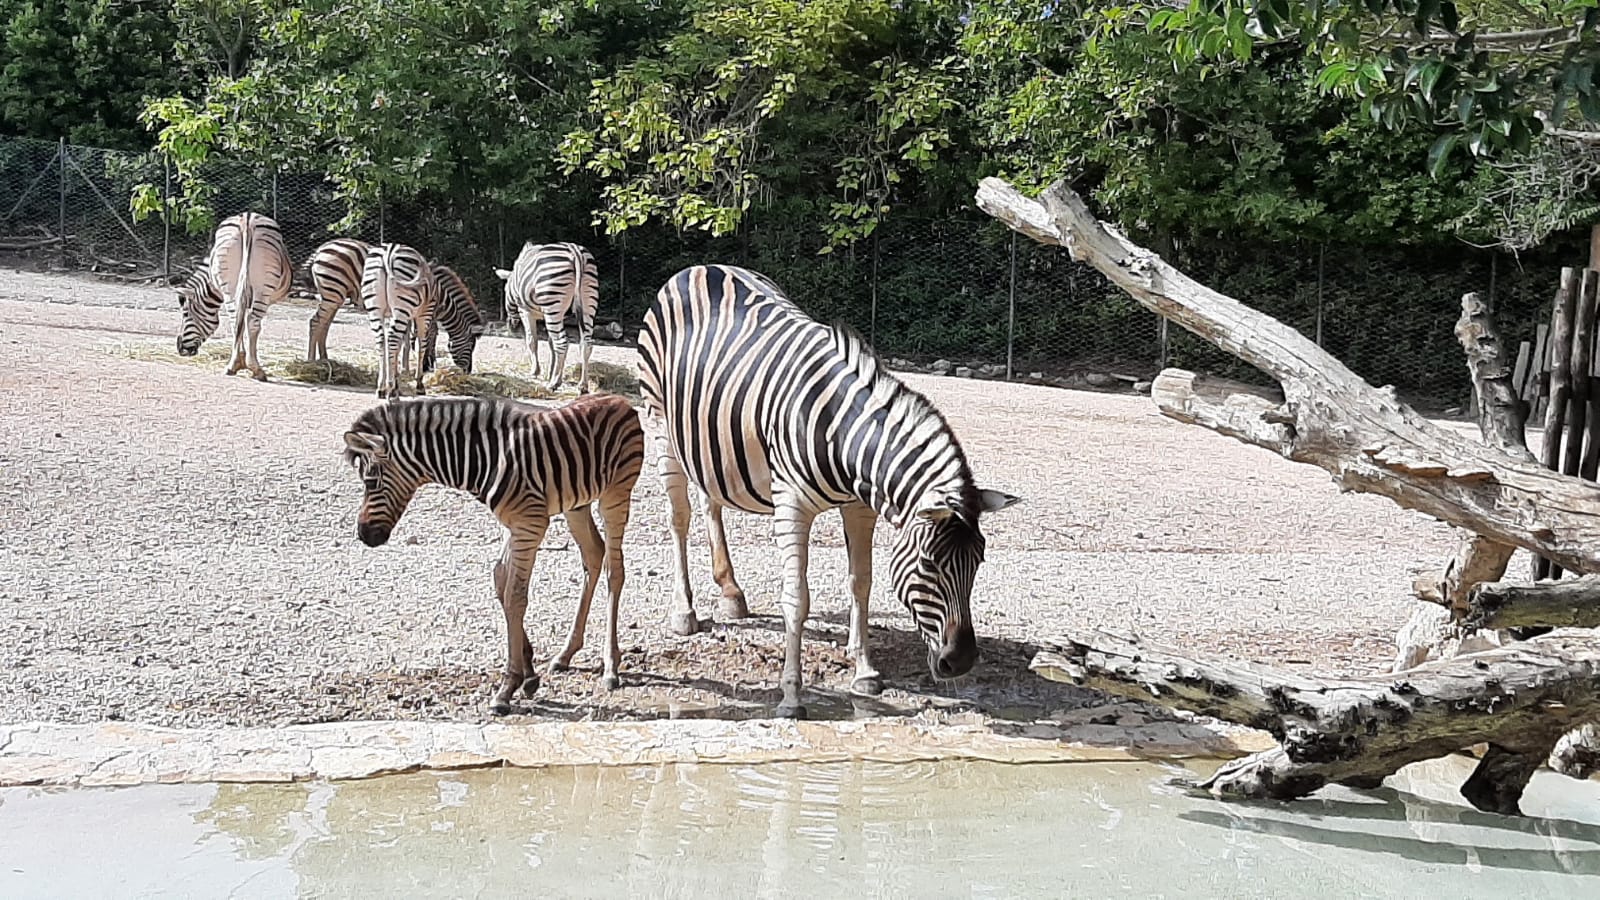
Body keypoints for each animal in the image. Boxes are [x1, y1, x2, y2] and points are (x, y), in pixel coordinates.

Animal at [176, 212, 292, 379]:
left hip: (231, 286)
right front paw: (245, 360)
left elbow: (241, 325)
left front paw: (242, 360)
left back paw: (235, 365)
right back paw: (254, 369)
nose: (180, 349)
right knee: (250, 322)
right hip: (261, 289)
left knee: (236, 320)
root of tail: (247, 220)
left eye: (185, 314)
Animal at [341, 393, 646, 713]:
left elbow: (515, 596)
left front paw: (508, 687)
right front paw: (529, 673)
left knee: (615, 569)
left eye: (370, 481)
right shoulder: (513, 526)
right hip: (577, 504)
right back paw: (565, 655)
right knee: (593, 556)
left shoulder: (530, 524)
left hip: (616, 495)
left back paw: (611, 666)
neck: (483, 458)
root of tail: (619, 399)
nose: (363, 535)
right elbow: (501, 583)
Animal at [361, 242, 436, 398]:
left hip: (375, 308)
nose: (432, 365)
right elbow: (421, 345)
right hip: (403, 306)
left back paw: (382, 387)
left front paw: (396, 381)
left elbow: (400, 346)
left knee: (382, 340)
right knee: (392, 339)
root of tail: (388, 252)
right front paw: (419, 384)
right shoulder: (424, 315)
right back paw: (390, 388)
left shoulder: (395, 316)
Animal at [495, 241, 598, 393]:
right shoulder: (559, 316)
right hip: (587, 304)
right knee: (586, 344)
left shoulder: (526, 312)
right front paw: (552, 373)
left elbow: (532, 341)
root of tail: (575, 251)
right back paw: (582, 385)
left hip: (552, 304)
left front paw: (536, 371)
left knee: (562, 343)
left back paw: (553, 384)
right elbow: (551, 343)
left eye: (505, 291)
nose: (512, 328)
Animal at [637, 264, 1021, 719]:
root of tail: (699, 268)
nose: (960, 662)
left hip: (707, 443)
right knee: (679, 519)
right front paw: (790, 695)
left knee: (709, 500)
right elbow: (797, 599)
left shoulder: (860, 507)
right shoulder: (791, 505)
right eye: (929, 563)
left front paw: (865, 670)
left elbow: (861, 582)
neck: (843, 434)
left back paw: (731, 593)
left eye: (979, 561)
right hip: (661, 425)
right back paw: (685, 611)